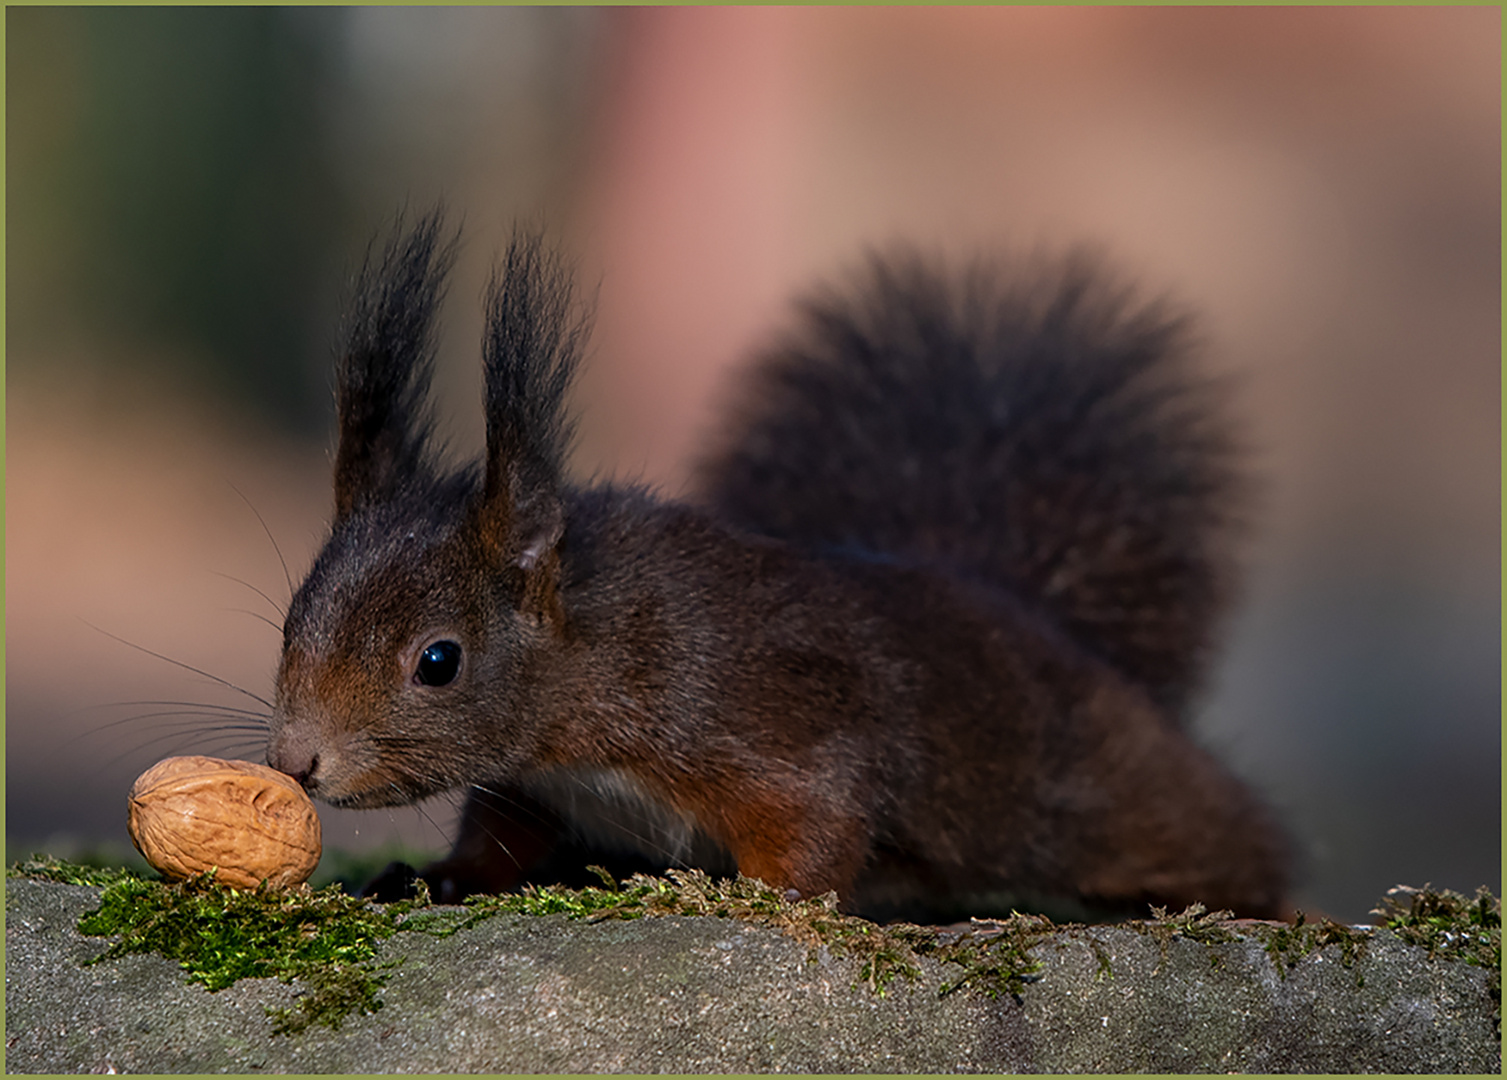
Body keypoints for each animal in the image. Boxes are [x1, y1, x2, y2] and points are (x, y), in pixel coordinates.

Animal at [265, 210, 1289, 915]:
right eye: (289, 623)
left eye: (438, 661)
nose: (296, 763)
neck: (596, 659)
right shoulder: (531, 787)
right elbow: (497, 838)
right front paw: (430, 878)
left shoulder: (754, 717)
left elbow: (820, 824)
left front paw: (753, 900)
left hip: (1106, 793)